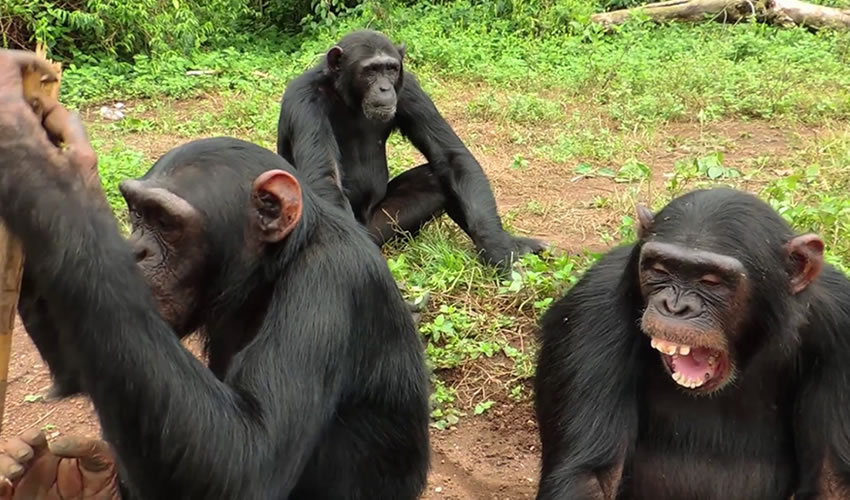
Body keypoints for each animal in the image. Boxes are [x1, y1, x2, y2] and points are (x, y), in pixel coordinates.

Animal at [0, 49, 428, 500]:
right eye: (137, 213)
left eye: (165, 222)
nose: (135, 251)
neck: (272, 270)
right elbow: (82, 365)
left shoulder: (330, 286)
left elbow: (247, 460)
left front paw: (36, 163)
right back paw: (68, 482)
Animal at [278, 29, 544, 272]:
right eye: (370, 70)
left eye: (391, 69)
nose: (385, 88)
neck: (347, 96)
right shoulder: (304, 100)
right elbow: (326, 178)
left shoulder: (409, 90)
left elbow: (451, 156)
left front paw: (498, 248)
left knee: (436, 176)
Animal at [532, 186, 848, 498]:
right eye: (660, 270)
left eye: (711, 281)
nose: (675, 306)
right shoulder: (591, 311)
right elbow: (591, 476)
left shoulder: (842, 324)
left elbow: (832, 482)